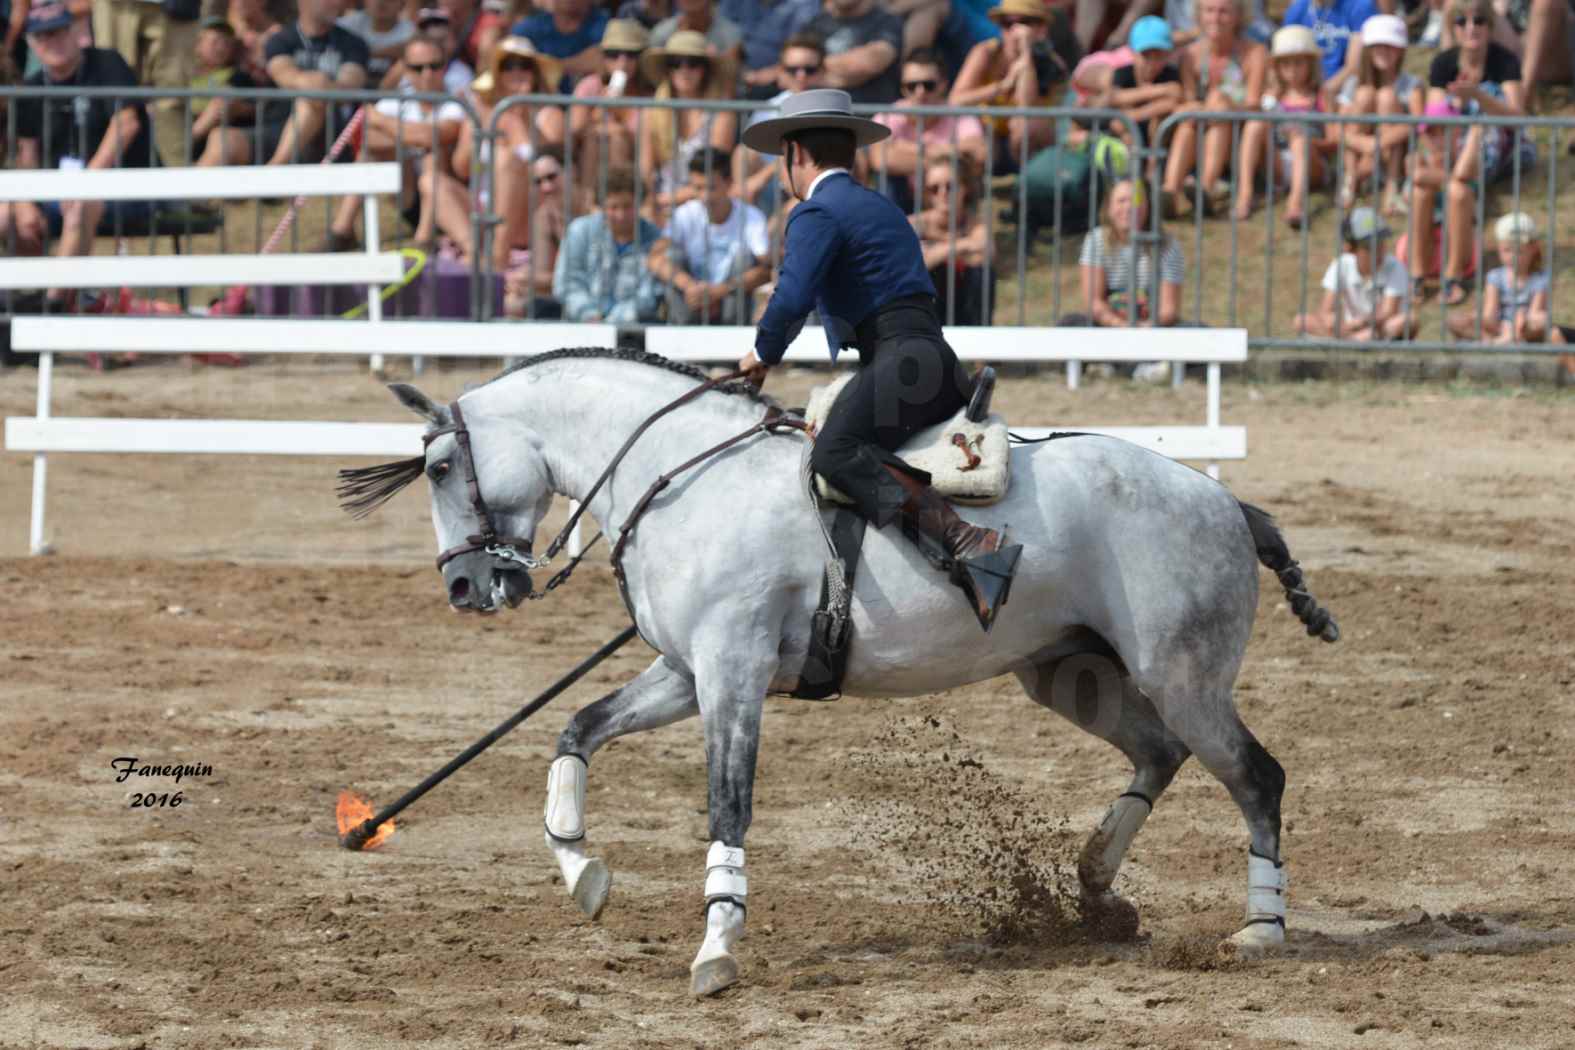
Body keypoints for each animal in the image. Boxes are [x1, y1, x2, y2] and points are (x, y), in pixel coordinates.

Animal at [357, 349, 1341, 1001]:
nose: (464, 587)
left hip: (1180, 674)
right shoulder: (684, 671)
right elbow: (578, 730)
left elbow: (727, 806)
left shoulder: (732, 673)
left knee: (1254, 775)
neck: (681, 481)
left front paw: (716, 947)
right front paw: (581, 871)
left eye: (440, 467)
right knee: (1159, 753)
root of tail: (1222, 498)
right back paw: (1096, 885)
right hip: (1070, 672)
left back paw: (1260, 927)